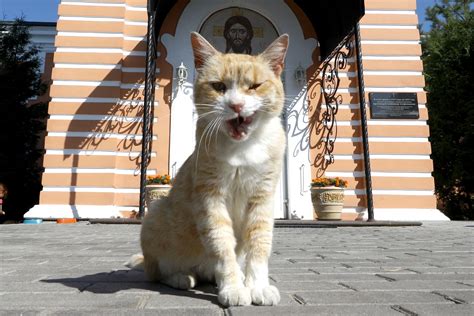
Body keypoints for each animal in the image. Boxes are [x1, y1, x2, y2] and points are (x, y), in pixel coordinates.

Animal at [127, 31, 288, 306]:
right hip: (155, 213)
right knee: (156, 272)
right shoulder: (211, 198)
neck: (243, 148)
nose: (236, 105)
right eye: (219, 87)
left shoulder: (262, 199)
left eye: (254, 86)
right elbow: (222, 246)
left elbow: (259, 245)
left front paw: (257, 286)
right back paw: (182, 277)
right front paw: (234, 288)